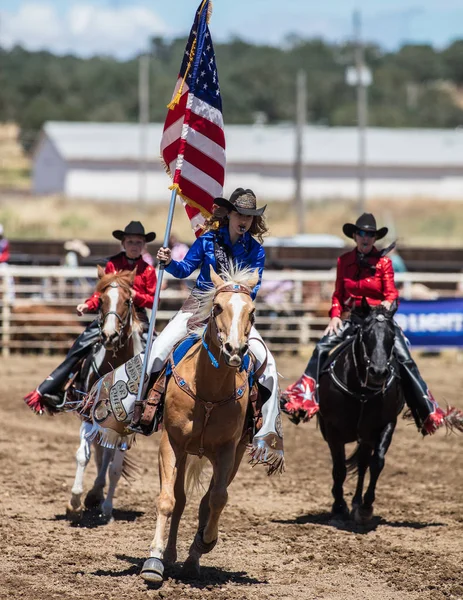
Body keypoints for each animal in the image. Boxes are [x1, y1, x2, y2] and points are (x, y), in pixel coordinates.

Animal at [64, 270, 142, 524]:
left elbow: (115, 468)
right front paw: (74, 503)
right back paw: (92, 494)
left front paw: (107, 509)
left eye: (127, 301)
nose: (109, 335)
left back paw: (98, 495)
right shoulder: (88, 417)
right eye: (101, 301)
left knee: (107, 456)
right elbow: (83, 456)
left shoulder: (126, 429)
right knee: (100, 453)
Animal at [140, 266, 260, 580]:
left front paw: (206, 541)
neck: (208, 393)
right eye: (217, 306)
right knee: (181, 499)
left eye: (252, 311)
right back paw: (170, 555)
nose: (234, 349)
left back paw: (193, 559)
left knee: (207, 502)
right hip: (185, 453)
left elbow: (217, 499)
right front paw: (154, 560)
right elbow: (168, 500)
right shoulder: (171, 444)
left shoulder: (229, 450)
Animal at [318, 300, 404, 524]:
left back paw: (358, 503)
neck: (362, 391)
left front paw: (366, 506)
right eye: (366, 334)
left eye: (392, 336)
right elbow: (339, 469)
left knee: (365, 464)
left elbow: (377, 463)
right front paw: (339, 507)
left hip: (366, 437)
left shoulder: (386, 425)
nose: (379, 372)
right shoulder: (332, 430)